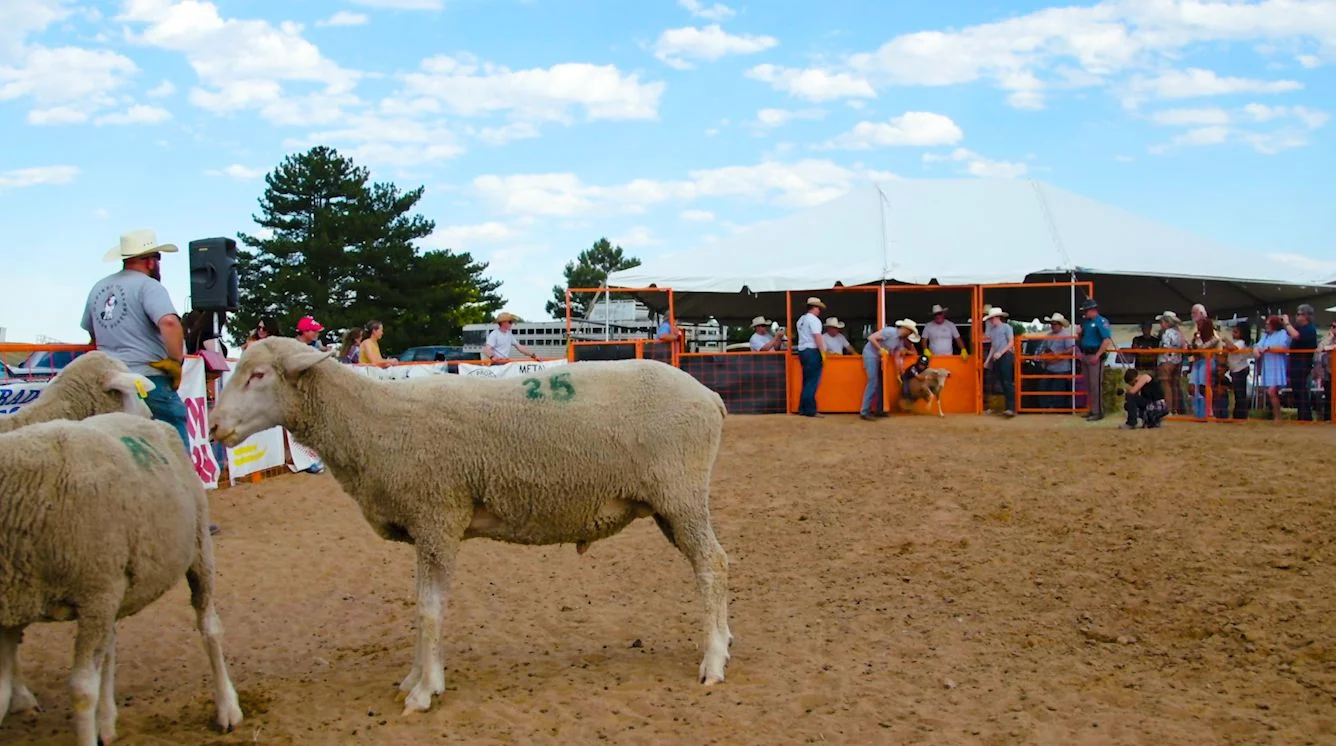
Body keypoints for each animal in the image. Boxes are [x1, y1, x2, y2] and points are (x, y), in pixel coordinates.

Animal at [0, 412, 242, 745]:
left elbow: (82, 690)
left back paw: (227, 708)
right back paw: (105, 721)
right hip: (111, 587)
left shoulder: (95, 593)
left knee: (210, 627)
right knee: (109, 649)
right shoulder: (15, 606)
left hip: (196, 550)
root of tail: (147, 419)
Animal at [209, 337, 732, 714]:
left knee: (711, 566)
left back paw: (713, 662)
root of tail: (710, 397)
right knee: (718, 563)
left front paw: (424, 691)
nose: (212, 427)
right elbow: (421, 607)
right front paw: (416, 677)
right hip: (670, 504)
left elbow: (429, 610)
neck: (372, 422)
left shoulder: (437, 516)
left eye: (258, 375)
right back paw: (724, 643)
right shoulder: (426, 526)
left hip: (680, 494)